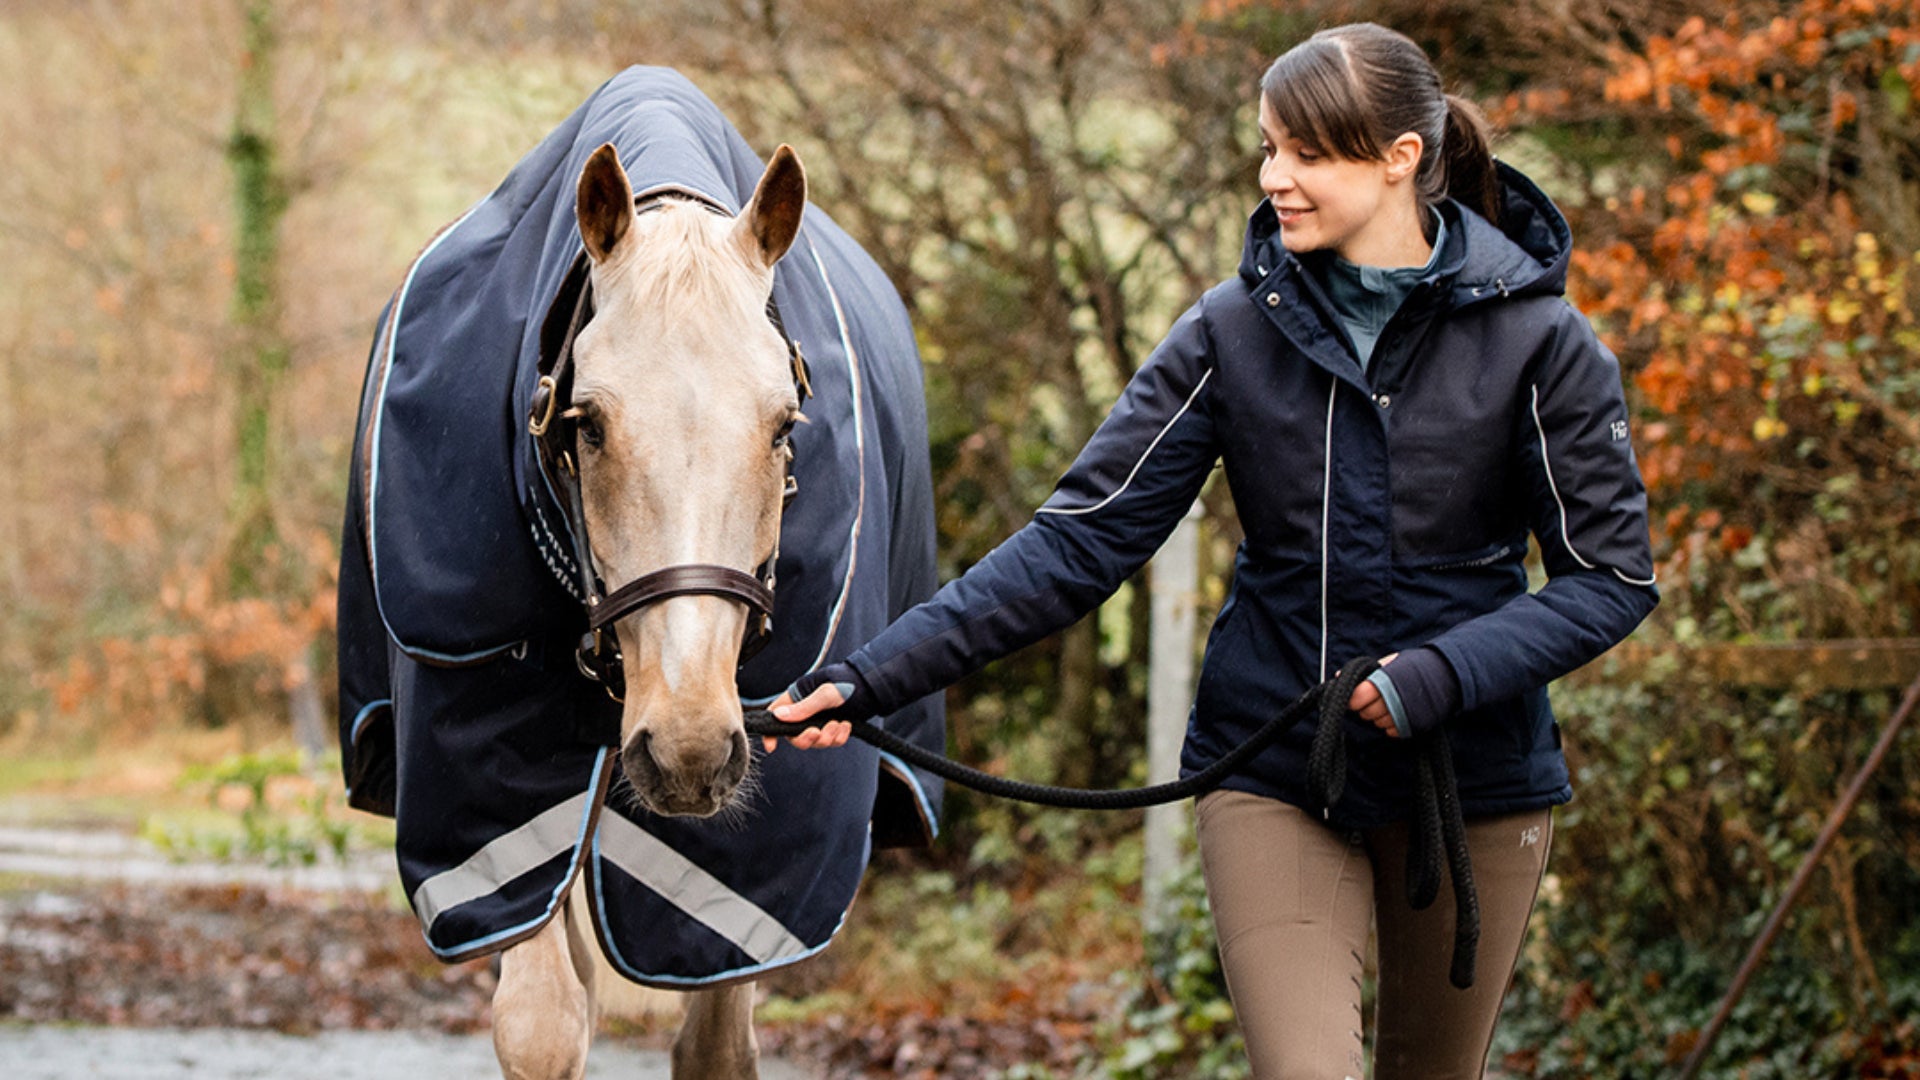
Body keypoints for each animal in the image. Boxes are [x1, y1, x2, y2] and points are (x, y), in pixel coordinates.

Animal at [334, 68, 946, 1079]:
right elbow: (542, 1024)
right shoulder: (494, 803)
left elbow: (716, 1042)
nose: (689, 749)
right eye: (586, 424)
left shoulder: (755, 870)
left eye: (783, 425)